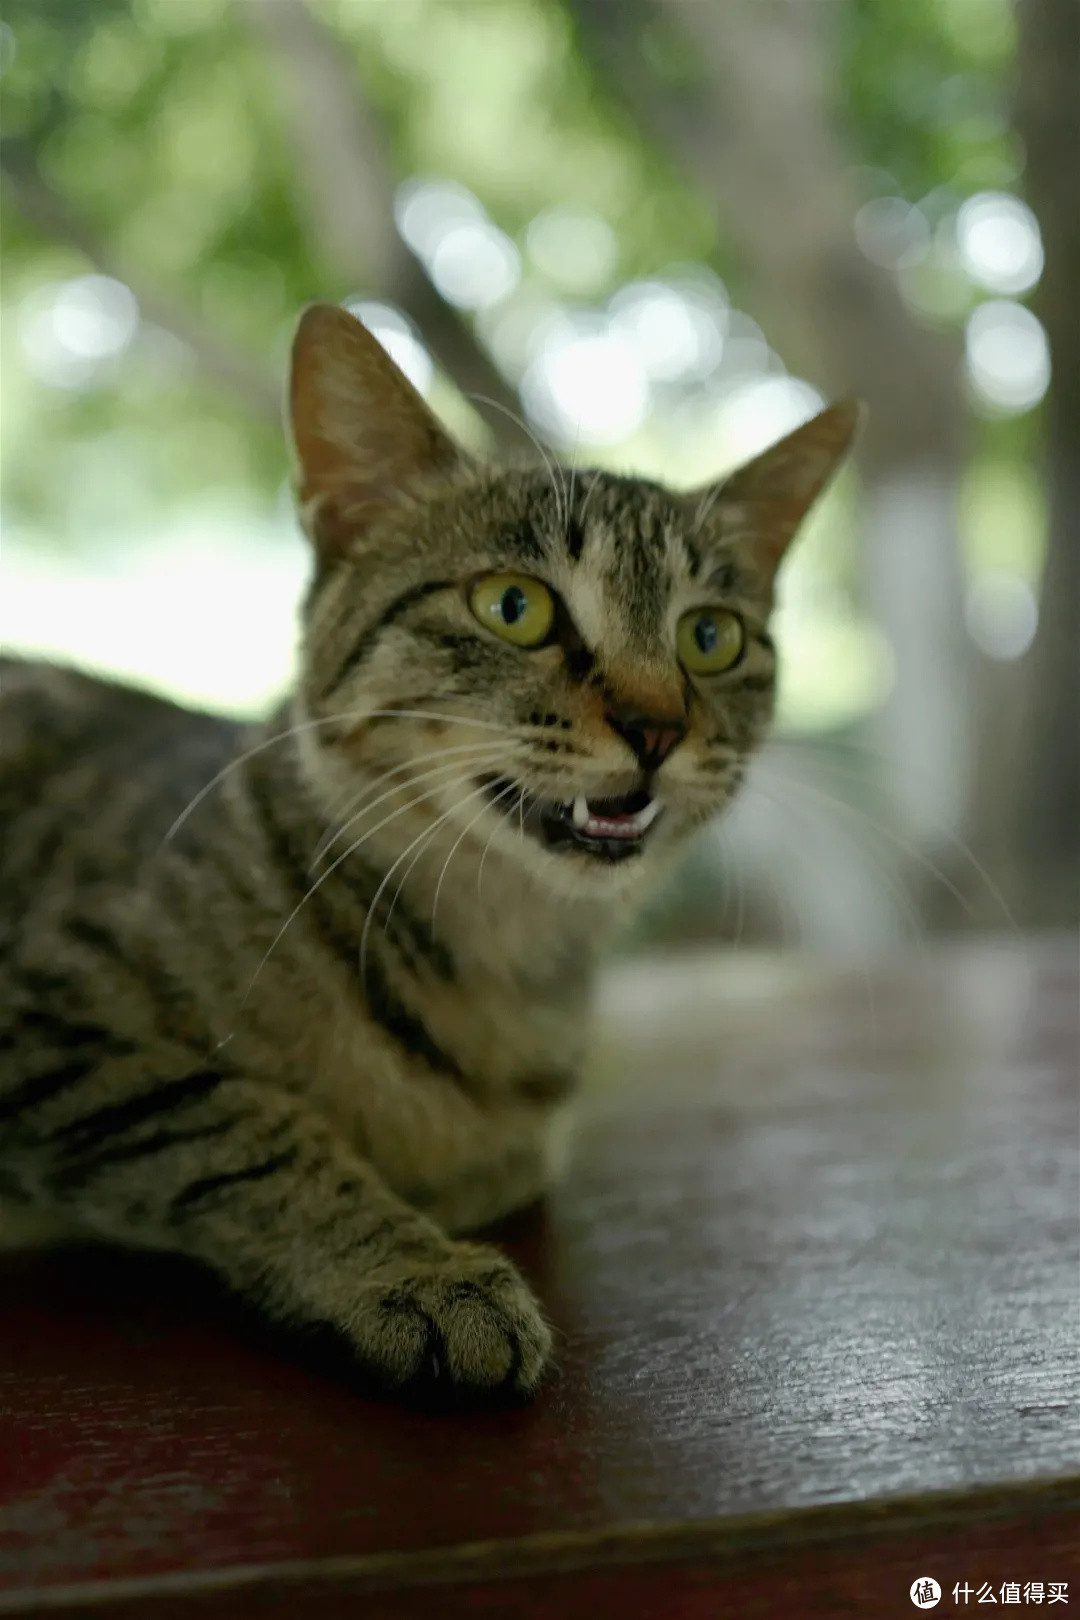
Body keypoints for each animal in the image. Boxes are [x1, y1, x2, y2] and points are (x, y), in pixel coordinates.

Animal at [0, 309, 861, 1399]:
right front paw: (413, 1270)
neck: (496, 968)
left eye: (711, 636)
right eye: (514, 607)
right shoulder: (46, 1013)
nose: (658, 728)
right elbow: (230, 1119)